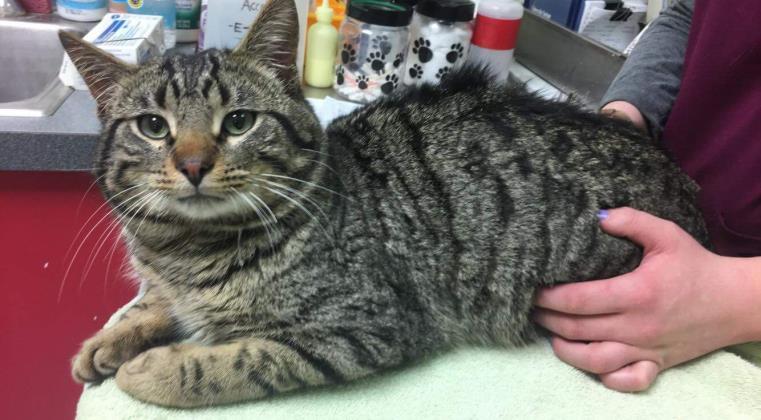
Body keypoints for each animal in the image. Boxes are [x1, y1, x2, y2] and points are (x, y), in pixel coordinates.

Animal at [58, 0, 708, 408]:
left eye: (239, 121)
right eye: (152, 127)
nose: (193, 165)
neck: (187, 252)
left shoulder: (366, 326)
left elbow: (242, 360)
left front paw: (159, 367)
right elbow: (157, 304)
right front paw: (111, 340)